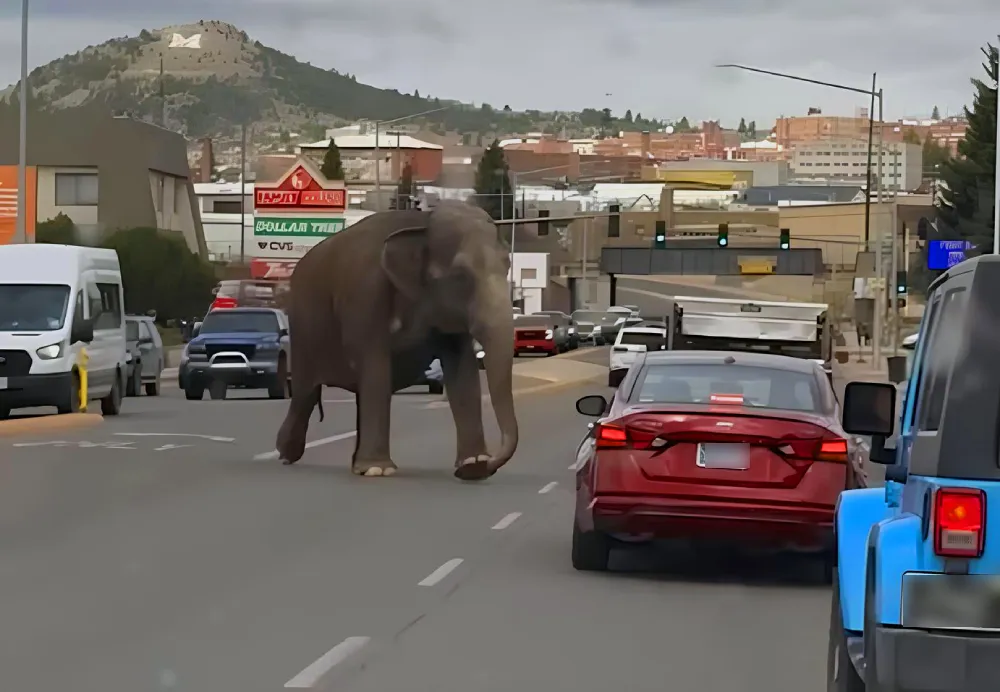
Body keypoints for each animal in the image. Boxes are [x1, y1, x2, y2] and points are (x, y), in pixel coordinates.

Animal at [276, 200, 520, 482]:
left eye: (507, 265)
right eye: (460, 275)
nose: (488, 465)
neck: (422, 222)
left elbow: (461, 369)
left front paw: (473, 464)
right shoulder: (365, 296)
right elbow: (376, 366)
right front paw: (377, 470)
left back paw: (352, 464)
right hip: (303, 329)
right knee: (304, 393)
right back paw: (286, 454)